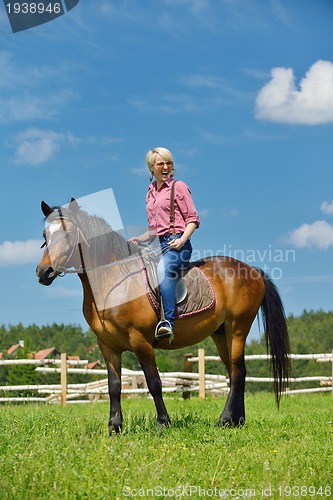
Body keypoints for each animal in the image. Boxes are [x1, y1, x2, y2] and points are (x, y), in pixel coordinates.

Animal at [36, 197, 290, 432]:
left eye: (69, 234)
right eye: (45, 234)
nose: (43, 272)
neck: (113, 281)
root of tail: (252, 271)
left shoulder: (140, 341)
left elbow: (154, 382)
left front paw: (162, 423)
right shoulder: (107, 346)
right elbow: (114, 386)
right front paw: (114, 426)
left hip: (238, 327)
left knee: (237, 372)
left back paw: (225, 419)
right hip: (221, 333)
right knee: (237, 372)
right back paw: (237, 421)